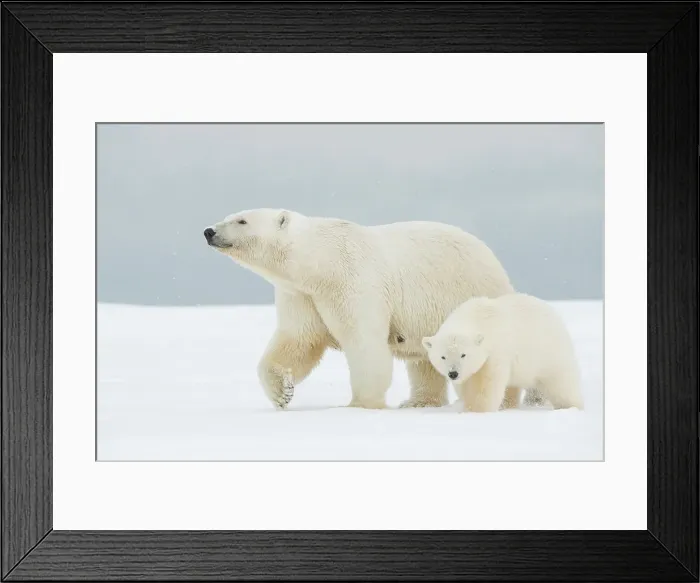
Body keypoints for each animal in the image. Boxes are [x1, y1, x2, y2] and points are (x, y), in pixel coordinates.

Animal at [204, 208, 516, 410]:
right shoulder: (301, 295)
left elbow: (363, 341)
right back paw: (418, 402)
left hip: (469, 292)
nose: (209, 230)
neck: (319, 263)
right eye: (231, 215)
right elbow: (299, 339)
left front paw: (360, 404)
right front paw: (283, 392)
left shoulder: (353, 281)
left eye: (241, 220)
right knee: (424, 360)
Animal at [422, 292, 584, 413]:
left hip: (549, 352)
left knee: (561, 383)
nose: (453, 373)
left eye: (463, 354)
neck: (475, 316)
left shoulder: (495, 352)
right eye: (443, 356)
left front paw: (477, 410)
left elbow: (487, 384)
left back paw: (570, 406)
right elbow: (467, 384)